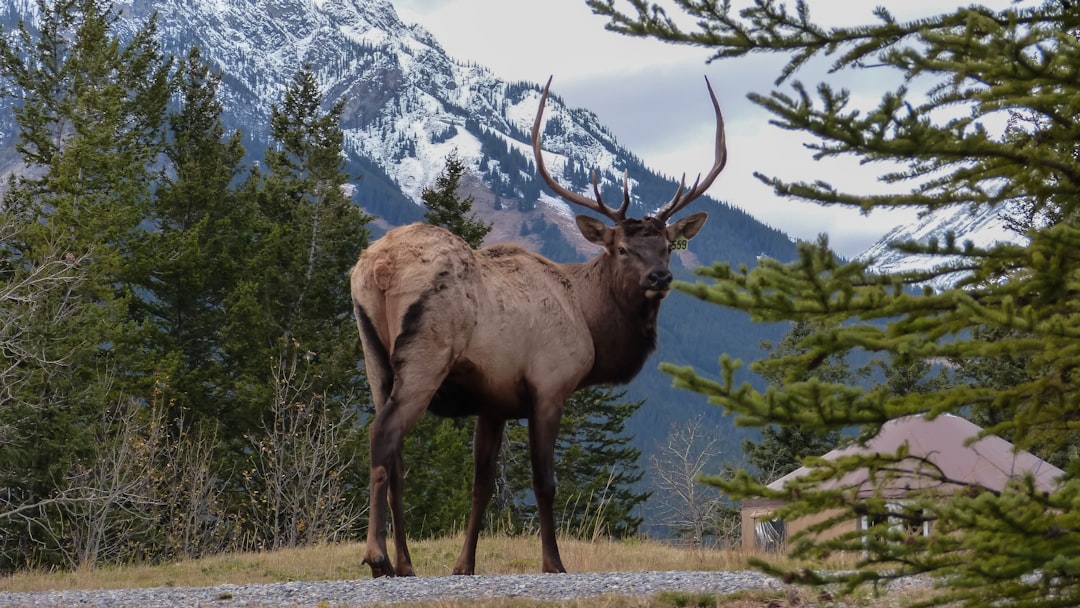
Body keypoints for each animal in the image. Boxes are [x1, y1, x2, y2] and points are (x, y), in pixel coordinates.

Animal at [352, 75, 725, 574]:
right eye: (622, 248)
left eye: (667, 246)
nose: (659, 278)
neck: (589, 319)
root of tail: (379, 267)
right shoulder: (549, 386)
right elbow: (544, 482)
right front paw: (554, 562)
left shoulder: (493, 402)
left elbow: (482, 485)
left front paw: (464, 565)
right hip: (424, 357)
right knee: (383, 435)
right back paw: (377, 558)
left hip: (375, 360)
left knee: (393, 453)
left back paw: (405, 563)